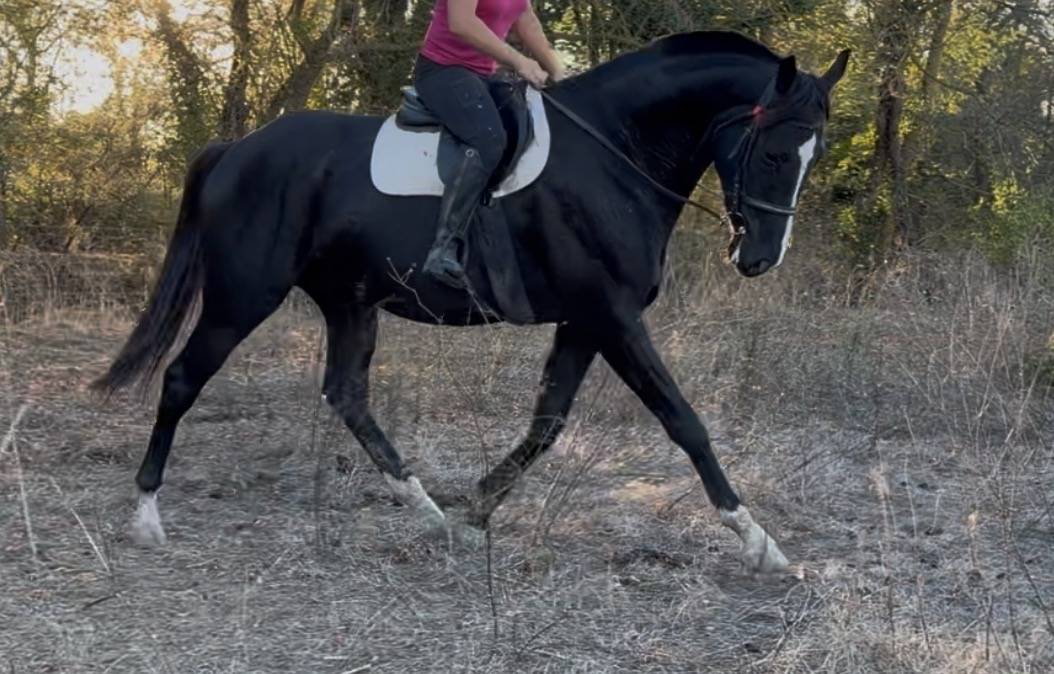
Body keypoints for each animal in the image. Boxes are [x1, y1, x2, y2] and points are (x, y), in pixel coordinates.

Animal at [94, 31, 849, 573]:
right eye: (776, 153)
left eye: (813, 157)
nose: (759, 259)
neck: (616, 154)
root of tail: (238, 148)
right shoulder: (612, 315)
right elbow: (683, 421)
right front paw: (756, 540)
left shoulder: (585, 321)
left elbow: (547, 424)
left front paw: (473, 512)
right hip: (243, 295)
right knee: (183, 378)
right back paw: (146, 516)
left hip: (349, 302)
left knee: (347, 395)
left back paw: (427, 512)